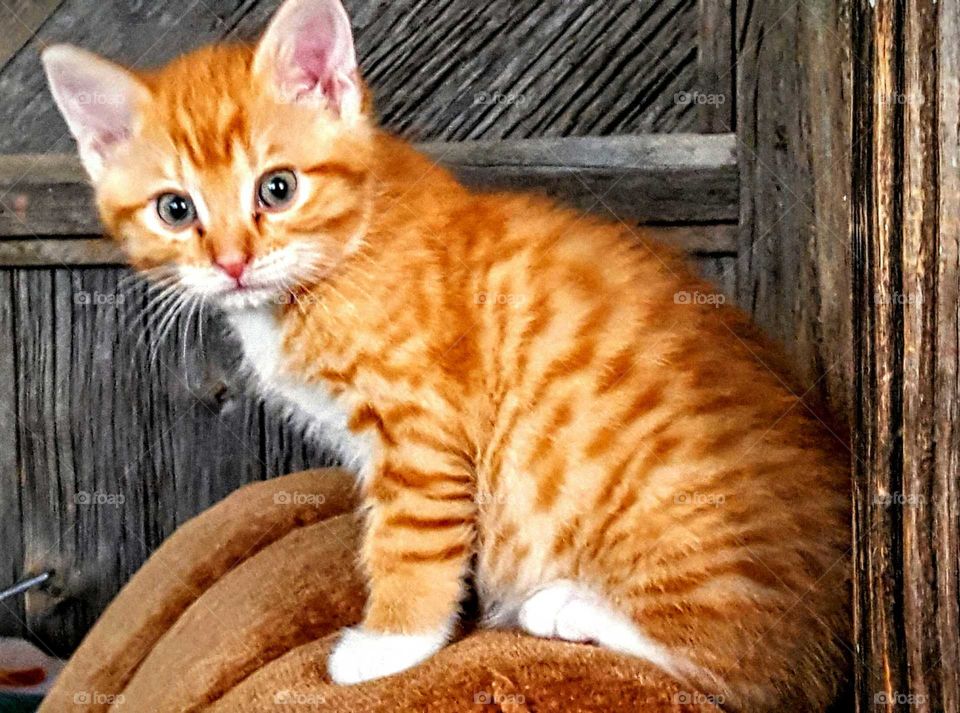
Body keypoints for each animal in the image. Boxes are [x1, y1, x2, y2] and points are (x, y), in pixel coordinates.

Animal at [41, 2, 848, 708]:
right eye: (176, 209)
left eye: (278, 188)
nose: (234, 262)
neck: (337, 261)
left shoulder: (422, 430)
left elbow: (410, 544)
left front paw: (389, 646)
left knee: (739, 668)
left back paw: (566, 607)